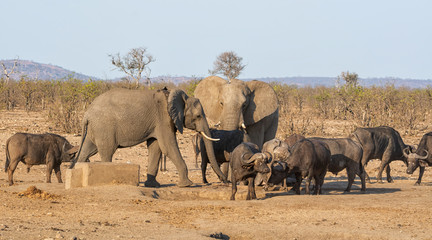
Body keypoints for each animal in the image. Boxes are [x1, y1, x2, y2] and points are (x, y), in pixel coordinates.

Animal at [69, 87, 226, 187]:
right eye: (198, 116)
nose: (224, 180)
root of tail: (86, 114)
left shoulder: (157, 123)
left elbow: (155, 147)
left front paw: (152, 185)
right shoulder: (164, 118)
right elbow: (168, 146)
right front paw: (187, 185)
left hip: (94, 129)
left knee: (87, 151)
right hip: (104, 127)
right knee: (107, 151)